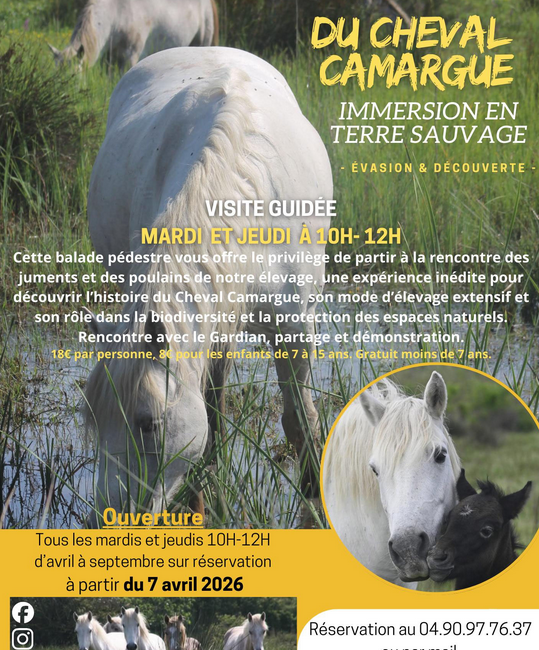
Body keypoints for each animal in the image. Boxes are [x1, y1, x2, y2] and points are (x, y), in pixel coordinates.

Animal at [83, 46, 333, 520]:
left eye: (148, 424)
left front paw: (312, 491)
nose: (106, 523)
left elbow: (300, 419)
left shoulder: (296, 326)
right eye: (92, 421)